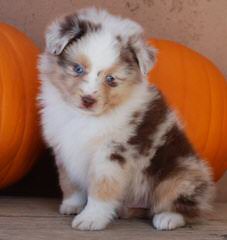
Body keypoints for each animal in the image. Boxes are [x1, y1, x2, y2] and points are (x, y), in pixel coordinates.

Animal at [37, 7, 215, 231]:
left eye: (111, 79)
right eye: (78, 69)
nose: (88, 100)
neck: (85, 118)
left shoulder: (113, 152)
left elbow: (102, 187)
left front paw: (91, 218)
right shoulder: (64, 148)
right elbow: (69, 182)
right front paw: (72, 205)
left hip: (181, 173)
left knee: (188, 207)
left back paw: (167, 218)